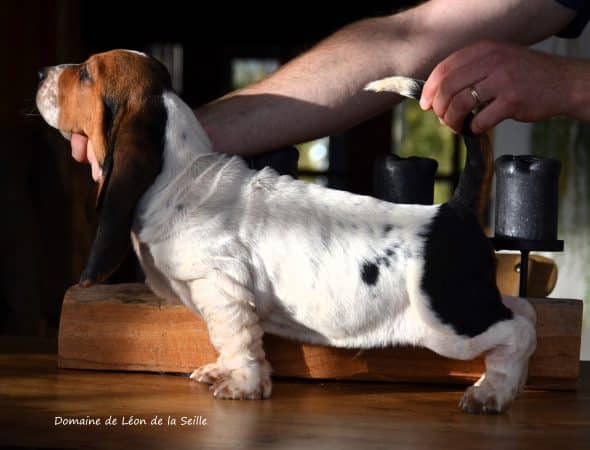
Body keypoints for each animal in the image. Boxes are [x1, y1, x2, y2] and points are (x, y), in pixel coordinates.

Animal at [34, 51, 540, 414]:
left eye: (87, 74)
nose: (40, 72)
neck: (178, 174)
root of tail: (453, 211)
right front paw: (223, 372)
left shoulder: (223, 288)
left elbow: (235, 338)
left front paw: (242, 385)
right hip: (469, 306)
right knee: (525, 312)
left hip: (446, 322)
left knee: (518, 332)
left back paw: (491, 392)